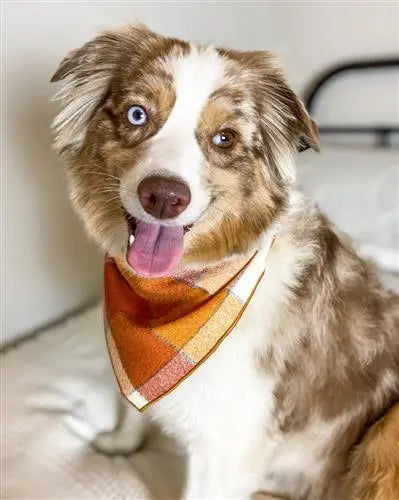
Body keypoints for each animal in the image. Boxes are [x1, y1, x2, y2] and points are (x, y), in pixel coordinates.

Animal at [51, 24, 398, 500]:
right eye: (137, 115)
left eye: (224, 138)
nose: (163, 196)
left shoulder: (230, 440)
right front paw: (120, 442)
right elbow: (130, 408)